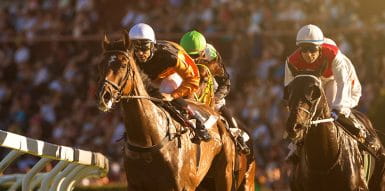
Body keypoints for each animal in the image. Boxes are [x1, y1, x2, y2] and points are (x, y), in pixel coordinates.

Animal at [96, 30, 255, 190]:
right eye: (101, 64)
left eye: (123, 64)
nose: (104, 96)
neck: (147, 140)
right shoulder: (135, 185)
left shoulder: (182, 186)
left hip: (229, 177)